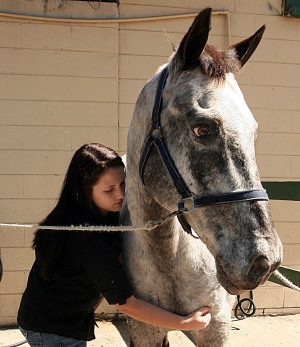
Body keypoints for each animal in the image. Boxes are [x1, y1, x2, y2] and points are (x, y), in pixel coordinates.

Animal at [120, 8, 282, 347]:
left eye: (254, 132)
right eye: (202, 129)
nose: (266, 261)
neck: (168, 255)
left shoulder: (215, 328)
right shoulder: (143, 331)